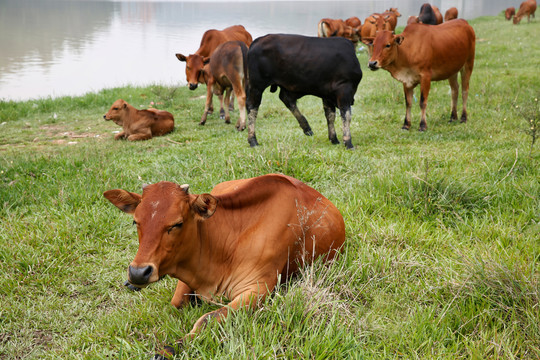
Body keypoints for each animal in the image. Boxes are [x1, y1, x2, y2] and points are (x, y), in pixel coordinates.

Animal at [103, 173, 344, 358]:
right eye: (136, 221)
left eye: (177, 223)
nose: (138, 272)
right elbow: (175, 302)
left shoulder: (257, 289)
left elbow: (207, 319)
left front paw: (171, 347)